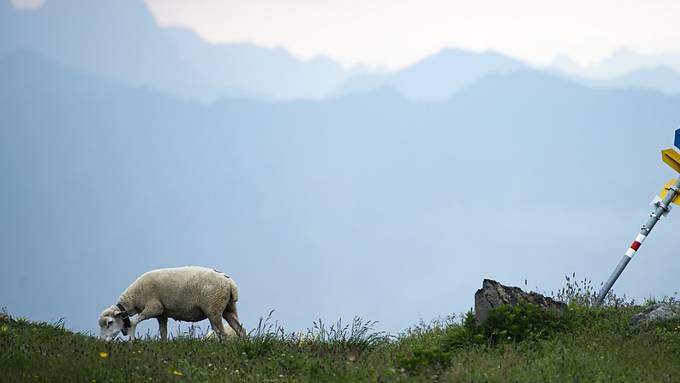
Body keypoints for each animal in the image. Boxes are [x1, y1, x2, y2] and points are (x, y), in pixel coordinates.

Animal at [95, 268, 244, 342]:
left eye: (110, 322)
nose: (102, 342)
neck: (133, 298)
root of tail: (230, 282)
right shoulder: (162, 314)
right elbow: (163, 333)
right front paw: (163, 345)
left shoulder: (154, 307)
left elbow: (133, 321)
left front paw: (131, 340)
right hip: (228, 308)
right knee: (239, 329)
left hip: (213, 308)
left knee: (222, 333)